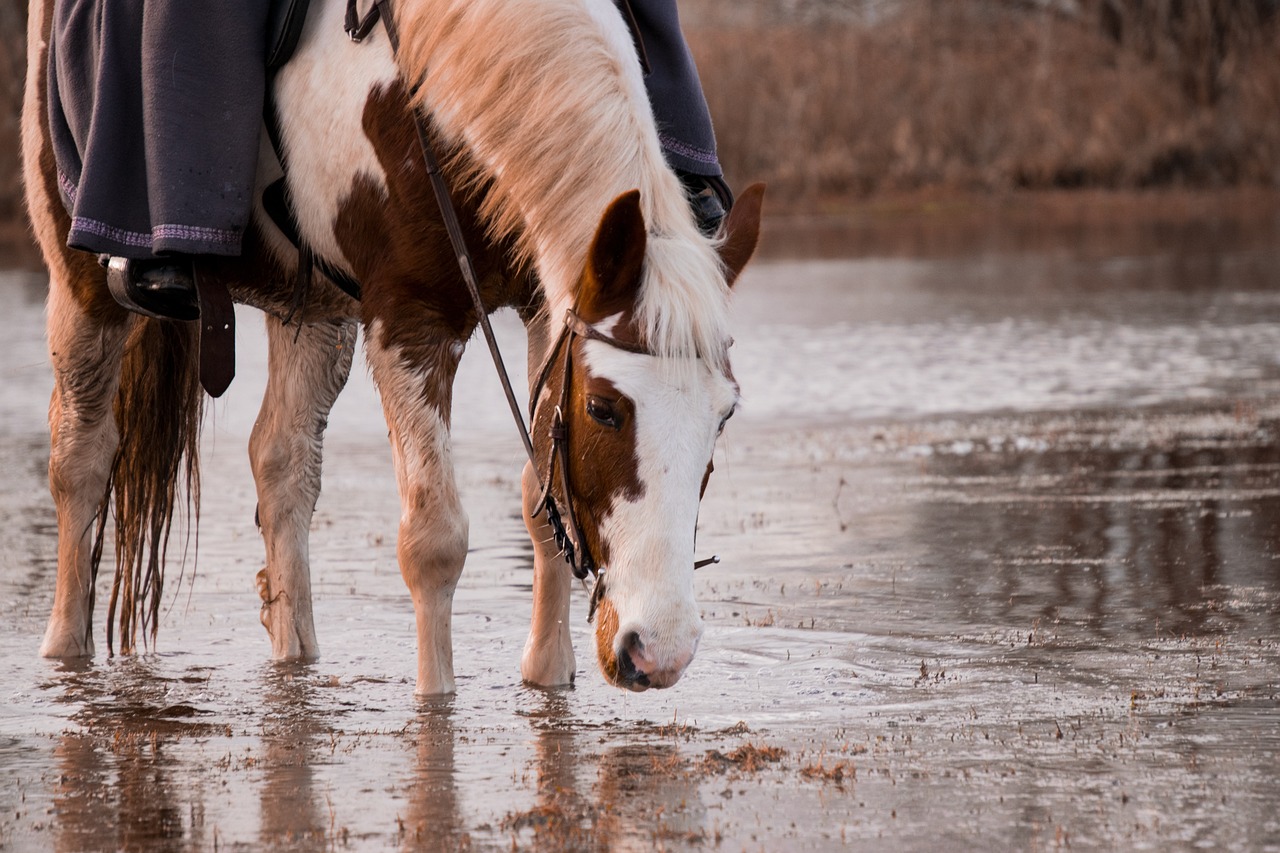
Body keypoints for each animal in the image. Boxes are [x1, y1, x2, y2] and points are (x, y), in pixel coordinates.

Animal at [22, 0, 757, 691]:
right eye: (604, 408)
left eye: (724, 416)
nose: (659, 649)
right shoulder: (410, 322)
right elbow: (433, 541)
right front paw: (437, 704)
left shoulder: (547, 302)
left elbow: (542, 498)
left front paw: (547, 676)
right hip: (80, 275)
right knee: (80, 457)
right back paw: (63, 651)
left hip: (312, 311)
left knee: (282, 462)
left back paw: (295, 655)